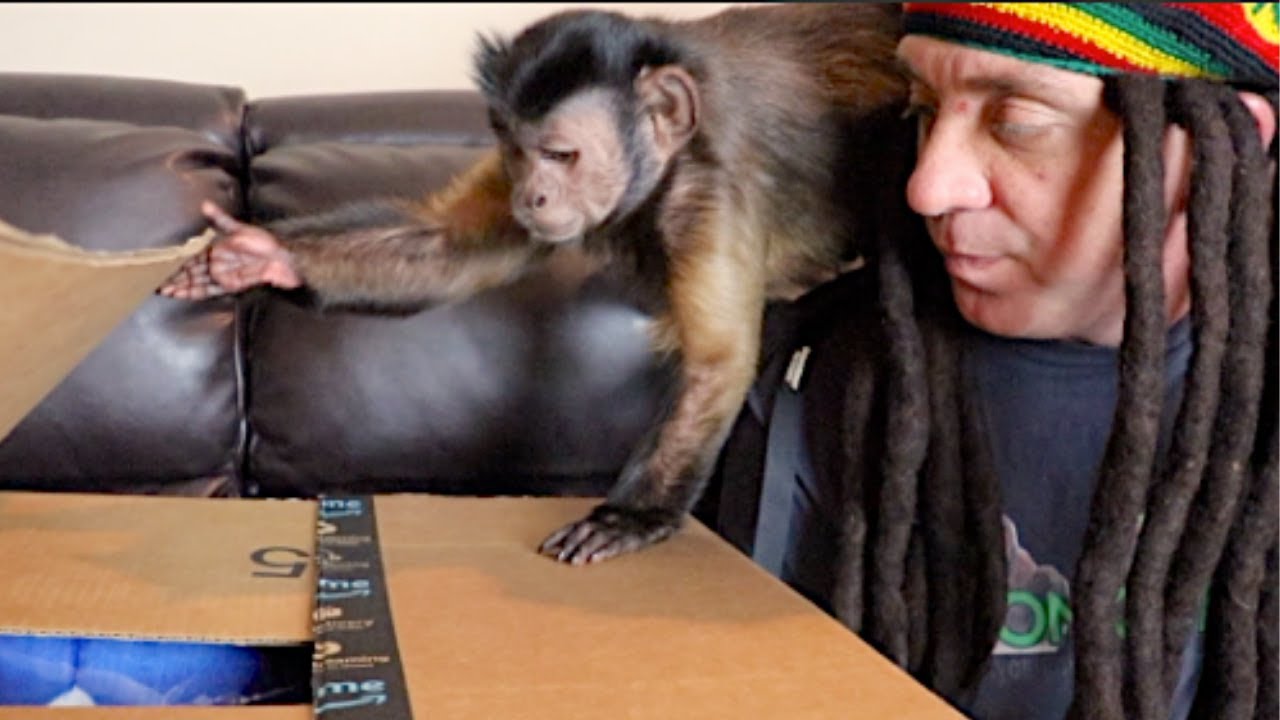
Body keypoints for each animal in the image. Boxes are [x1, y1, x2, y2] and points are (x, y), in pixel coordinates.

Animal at [159, 3, 912, 565]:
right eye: (518, 154)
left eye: (560, 155)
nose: (532, 196)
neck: (663, 166)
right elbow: (444, 254)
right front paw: (257, 258)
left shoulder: (708, 191)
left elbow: (717, 363)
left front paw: (632, 516)